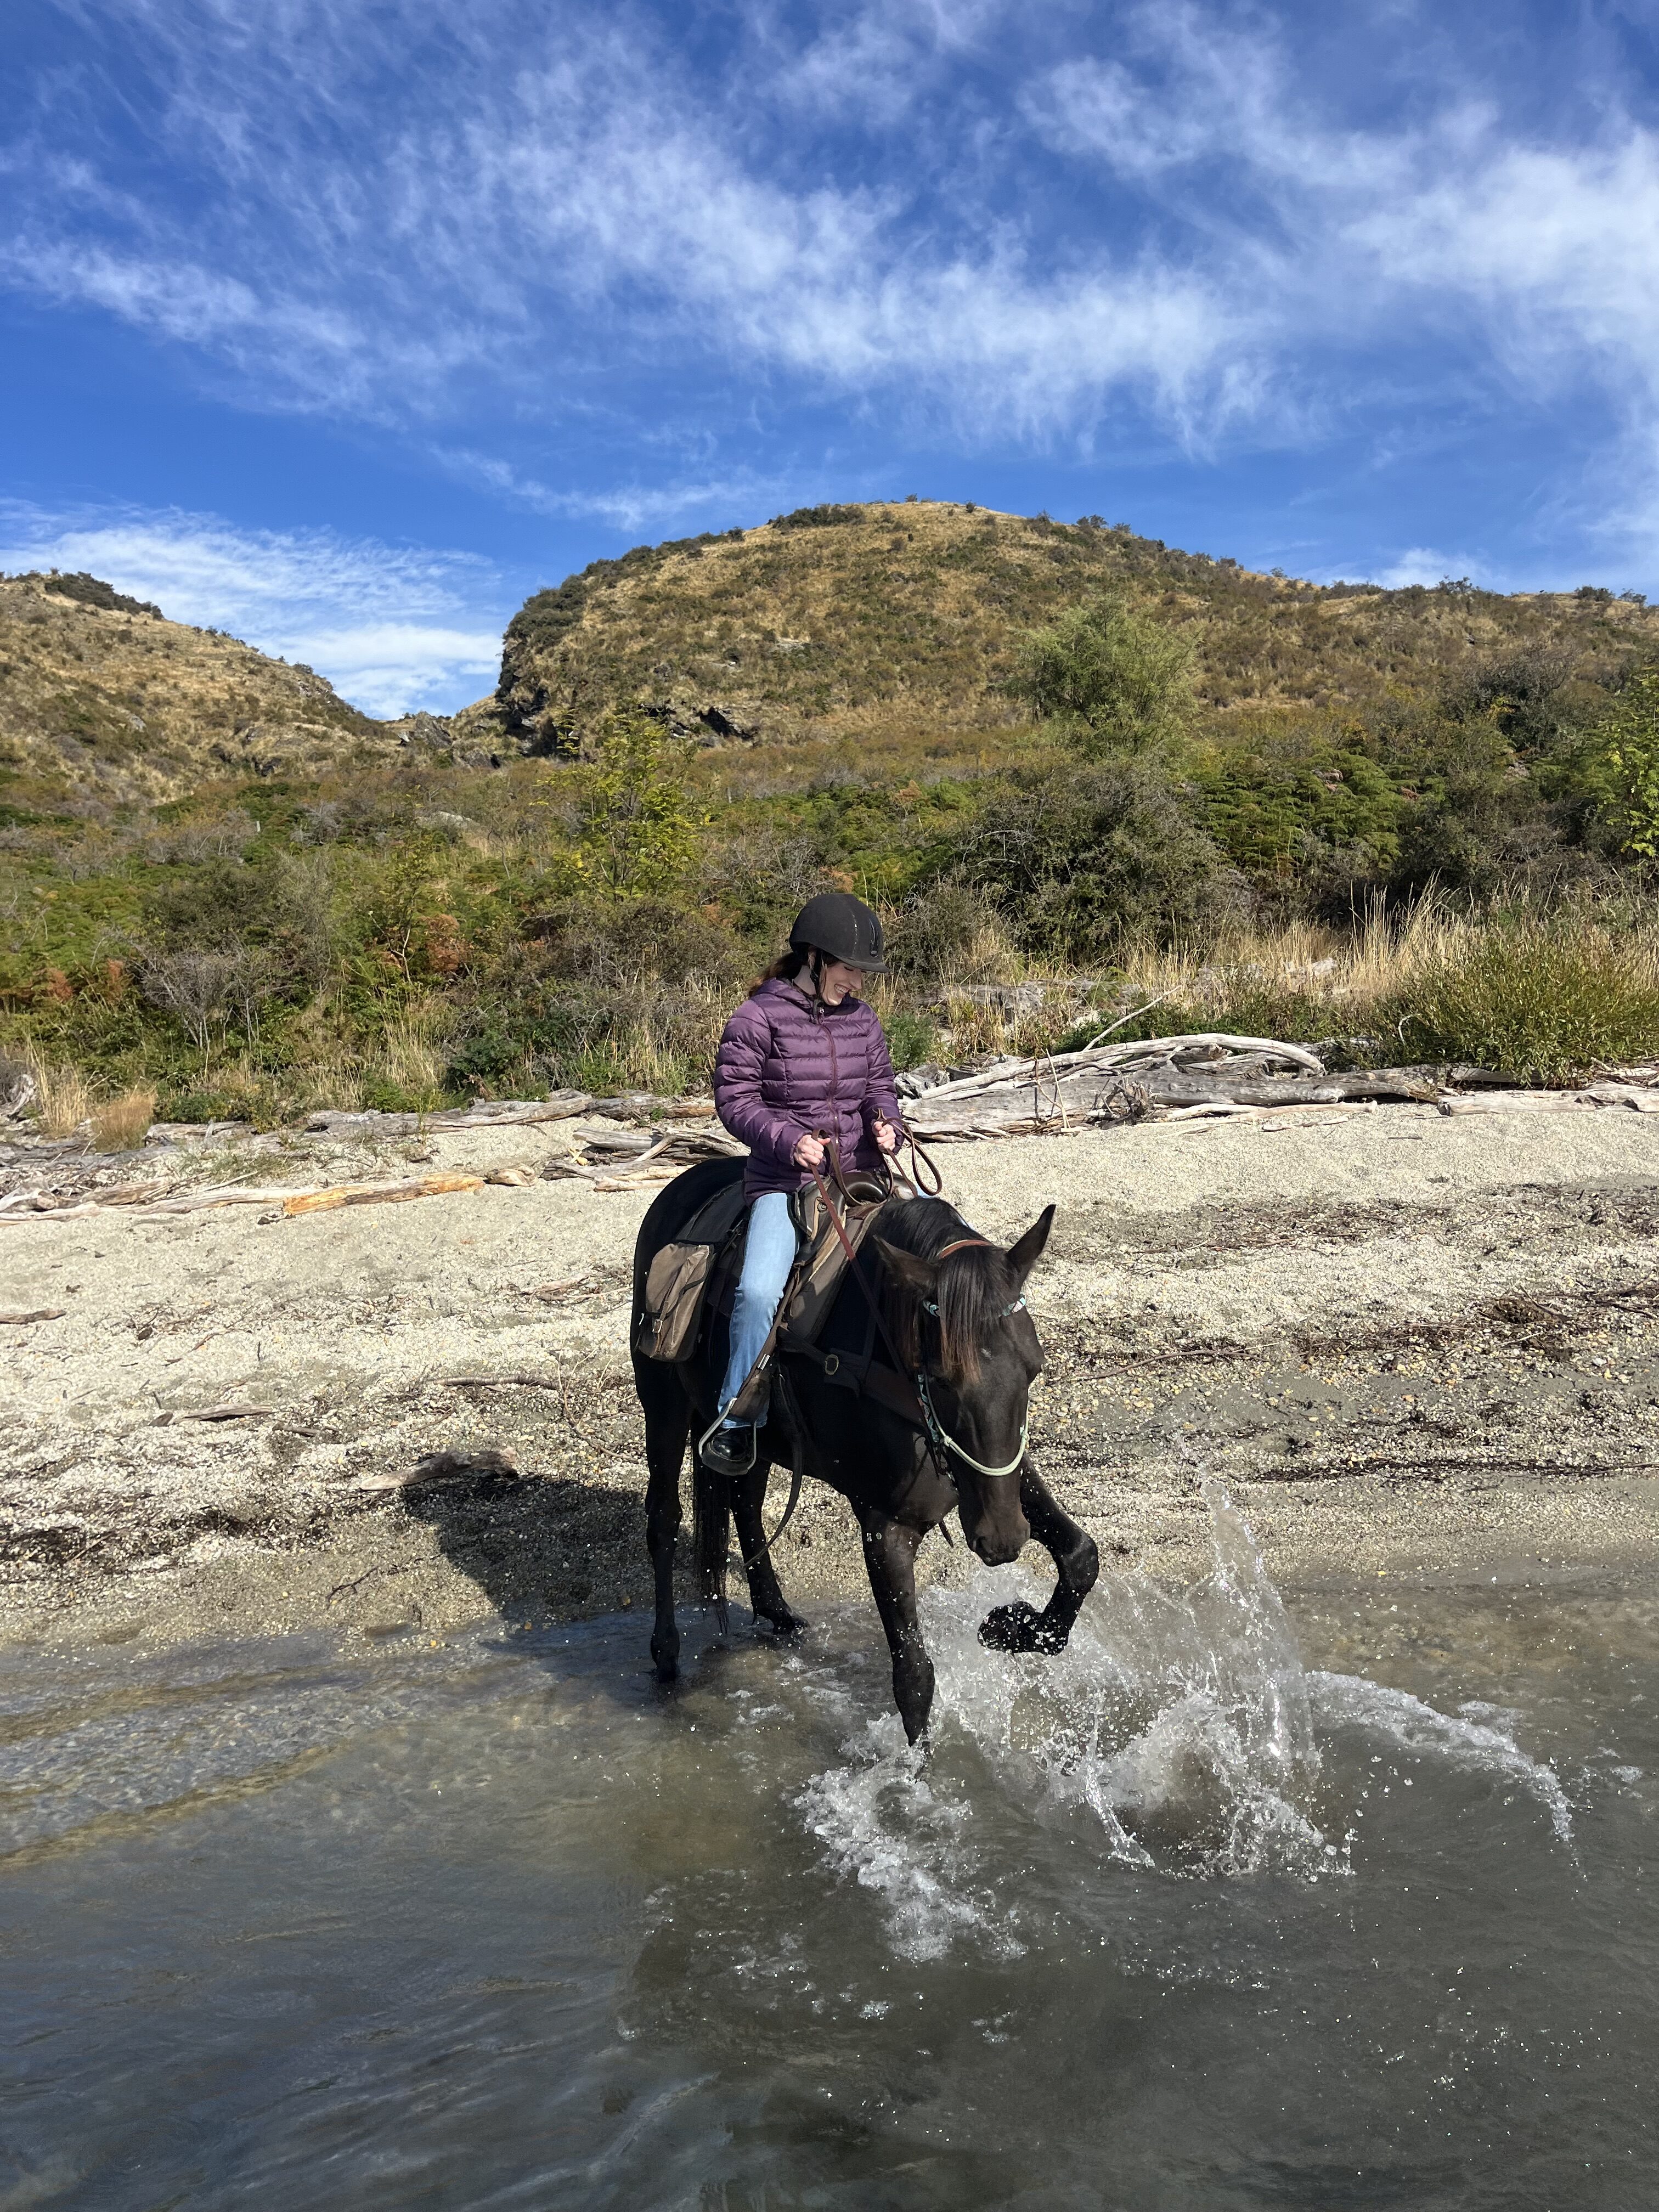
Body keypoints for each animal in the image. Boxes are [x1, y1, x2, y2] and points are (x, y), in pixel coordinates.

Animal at [629, 1156, 1099, 1744]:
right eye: (942, 1378)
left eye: (1034, 1369)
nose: (1003, 1540)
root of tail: (679, 1187)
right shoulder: (884, 1525)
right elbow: (914, 1679)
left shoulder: (1000, 1477)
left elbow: (1081, 1557)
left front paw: (1010, 1627)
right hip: (664, 1410)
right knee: (664, 1520)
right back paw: (666, 1653)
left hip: (755, 1441)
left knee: (745, 1502)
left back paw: (777, 1612)